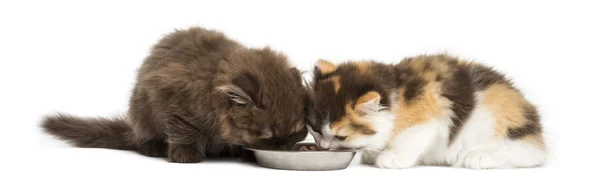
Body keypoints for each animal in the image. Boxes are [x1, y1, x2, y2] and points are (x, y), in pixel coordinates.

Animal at [41, 26, 310, 163]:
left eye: (297, 130)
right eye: (268, 135)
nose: (285, 148)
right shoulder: (172, 99)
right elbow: (184, 130)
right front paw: (185, 153)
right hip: (141, 110)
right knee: (142, 139)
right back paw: (154, 147)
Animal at [308, 54, 548, 169]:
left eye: (341, 136)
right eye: (316, 130)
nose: (324, 147)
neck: (396, 93)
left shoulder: (430, 115)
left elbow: (410, 138)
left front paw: (391, 158)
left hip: (499, 126)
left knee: (529, 154)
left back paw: (479, 157)